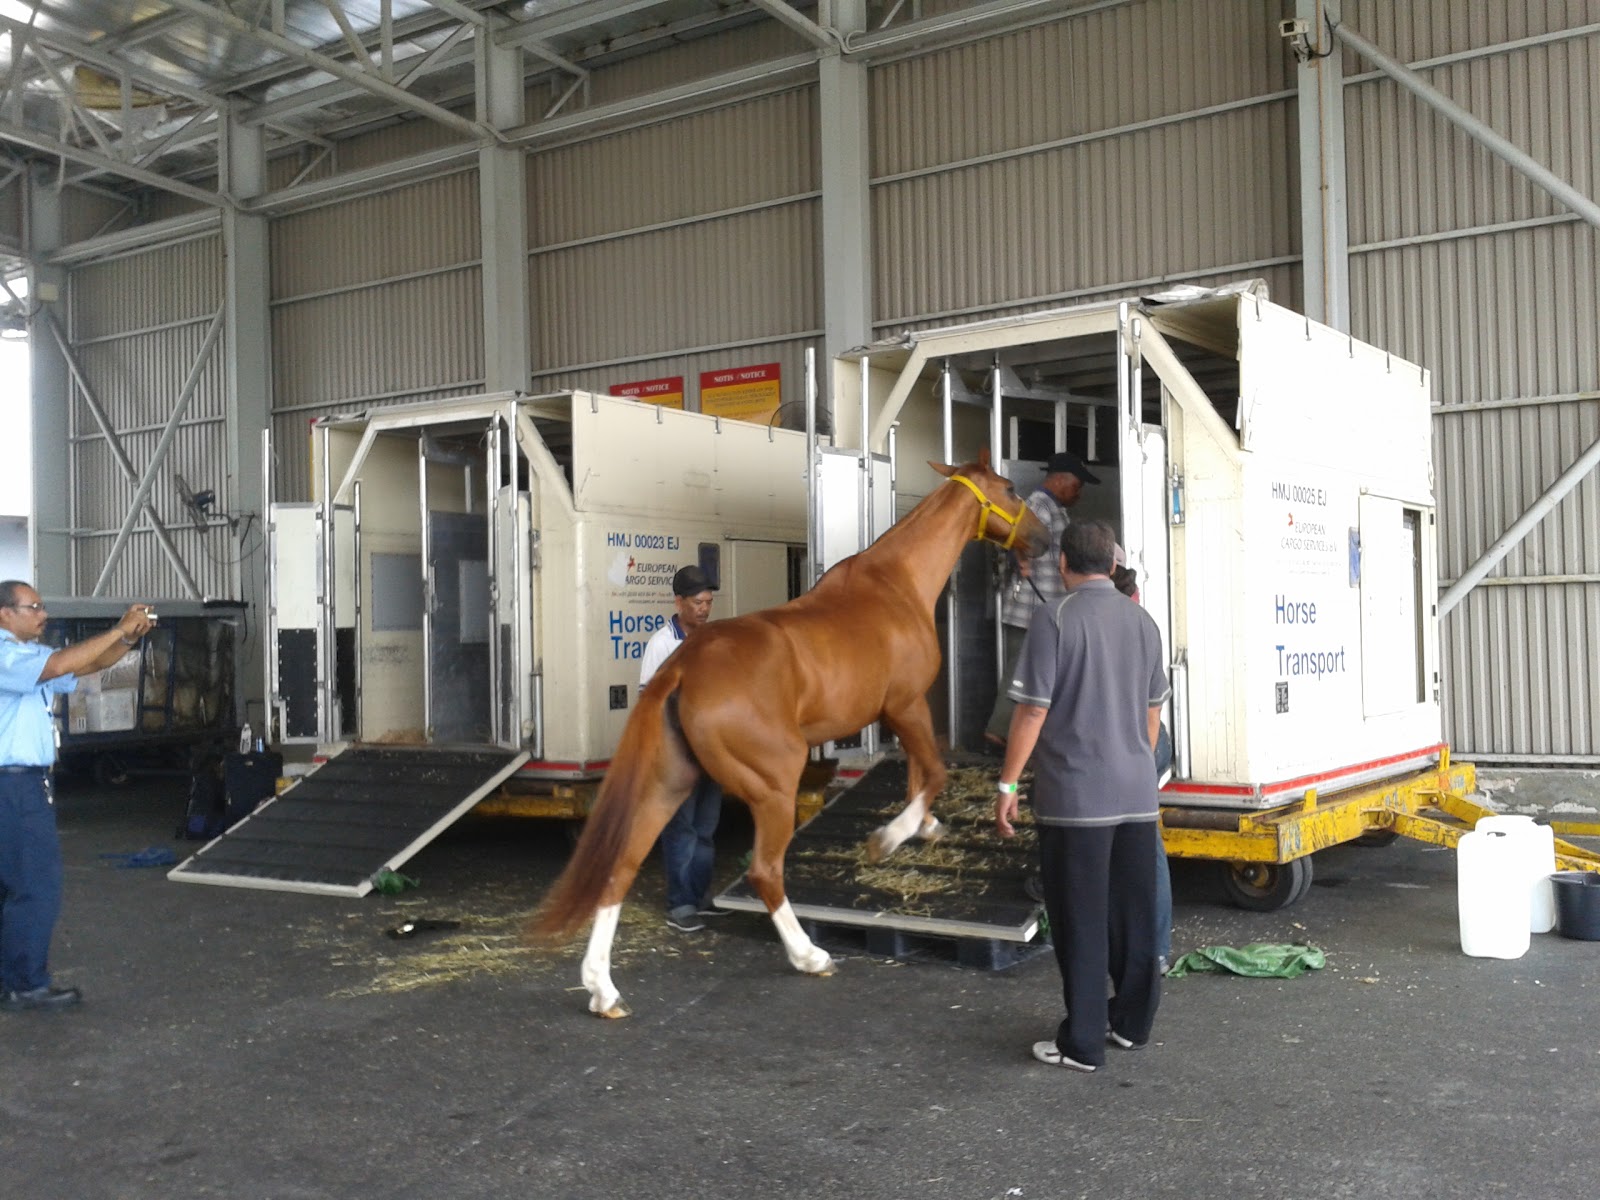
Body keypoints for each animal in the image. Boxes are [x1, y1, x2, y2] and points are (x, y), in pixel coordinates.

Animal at [529, 452, 1052, 1017]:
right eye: (1009, 489)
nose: (1045, 539)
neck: (896, 585)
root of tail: (683, 667)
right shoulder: (906, 706)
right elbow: (932, 772)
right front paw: (888, 839)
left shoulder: (901, 715)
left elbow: (918, 776)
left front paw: (925, 828)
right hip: (774, 784)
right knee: (763, 871)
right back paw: (809, 955)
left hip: (668, 784)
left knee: (620, 867)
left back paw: (603, 988)